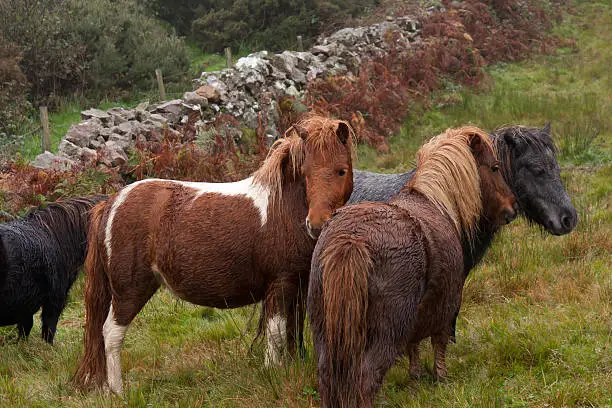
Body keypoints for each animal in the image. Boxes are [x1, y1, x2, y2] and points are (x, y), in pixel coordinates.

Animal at [74, 115, 356, 396]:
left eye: (341, 170)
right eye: (305, 173)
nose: (316, 225)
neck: (282, 208)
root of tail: (111, 203)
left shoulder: (298, 283)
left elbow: (293, 330)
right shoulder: (280, 284)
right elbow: (276, 332)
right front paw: (273, 374)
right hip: (129, 291)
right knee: (111, 334)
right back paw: (117, 392)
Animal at [306, 126, 516, 406]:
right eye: (494, 167)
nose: (511, 208)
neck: (435, 201)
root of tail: (353, 239)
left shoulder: (417, 315)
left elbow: (414, 344)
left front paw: (415, 375)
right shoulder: (446, 303)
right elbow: (439, 342)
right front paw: (440, 376)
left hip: (324, 330)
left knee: (327, 377)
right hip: (385, 331)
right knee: (367, 378)